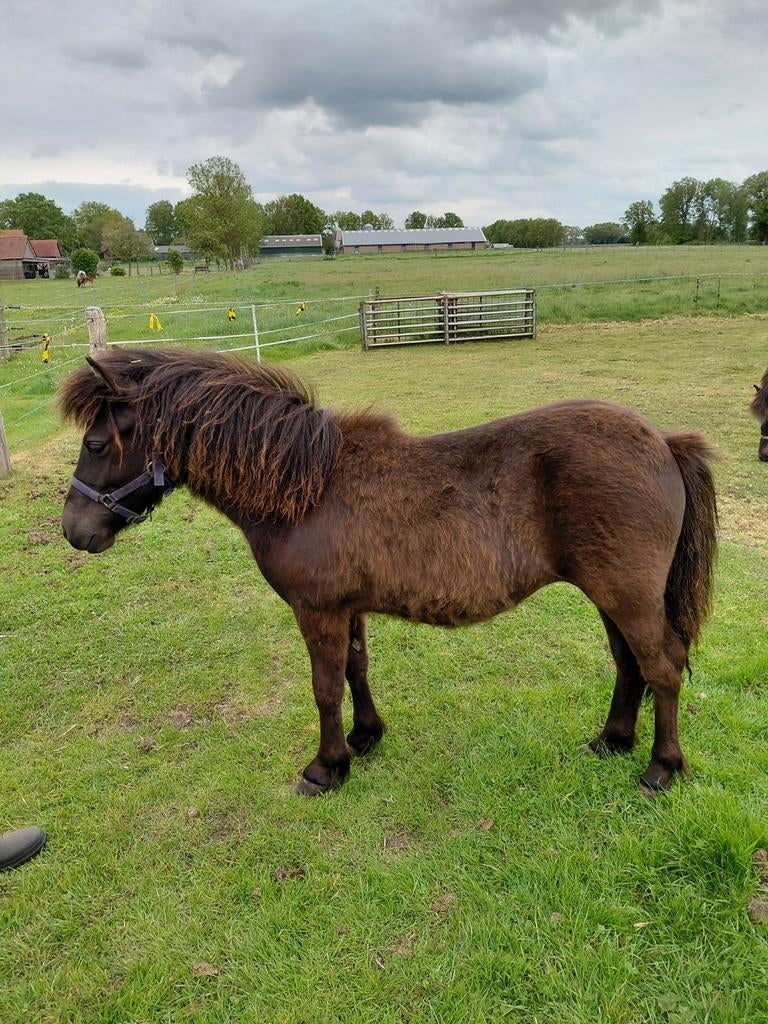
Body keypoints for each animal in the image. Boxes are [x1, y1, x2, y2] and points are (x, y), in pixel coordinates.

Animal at [59, 349, 718, 796]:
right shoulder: (346, 609)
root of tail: (662, 440)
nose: (74, 531)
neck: (305, 486)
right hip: (611, 595)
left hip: (627, 594)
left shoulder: (317, 611)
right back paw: (613, 740)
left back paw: (661, 767)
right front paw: (365, 738)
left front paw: (326, 767)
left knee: (662, 667)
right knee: (630, 665)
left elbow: (324, 687)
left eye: (96, 445)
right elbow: (356, 670)